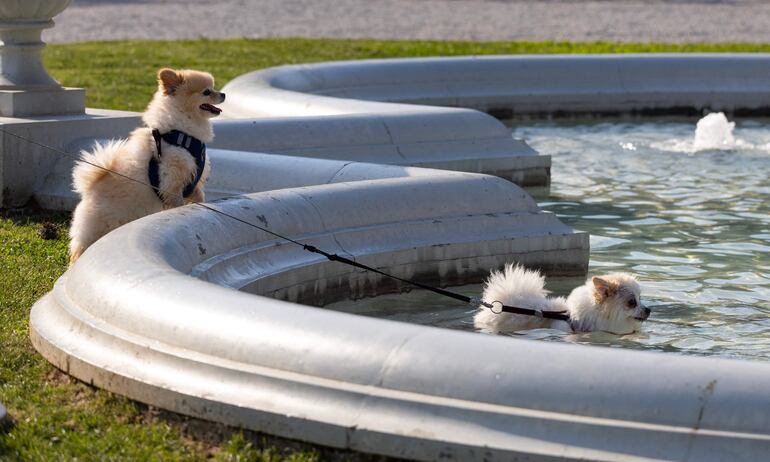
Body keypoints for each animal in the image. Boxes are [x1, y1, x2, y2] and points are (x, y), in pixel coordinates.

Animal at [67, 67, 224, 264]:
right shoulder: (172, 183)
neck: (182, 134)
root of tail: (90, 188)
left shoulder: (192, 183)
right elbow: (178, 203)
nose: (223, 94)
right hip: (98, 228)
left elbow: (200, 197)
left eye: (213, 88)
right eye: (207, 92)